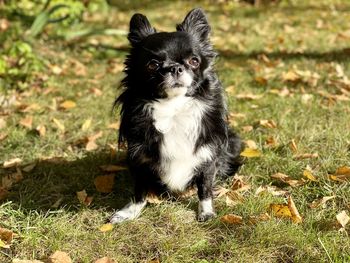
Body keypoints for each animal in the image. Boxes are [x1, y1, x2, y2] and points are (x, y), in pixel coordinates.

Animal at [110, 7, 242, 224]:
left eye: (194, 61)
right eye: (153, 65)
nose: (175, 67)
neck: (174, 109)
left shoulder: (208, 156)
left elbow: (205, 188)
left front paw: (206, 211)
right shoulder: (139, 159)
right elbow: (139, 191)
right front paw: (129, 212)